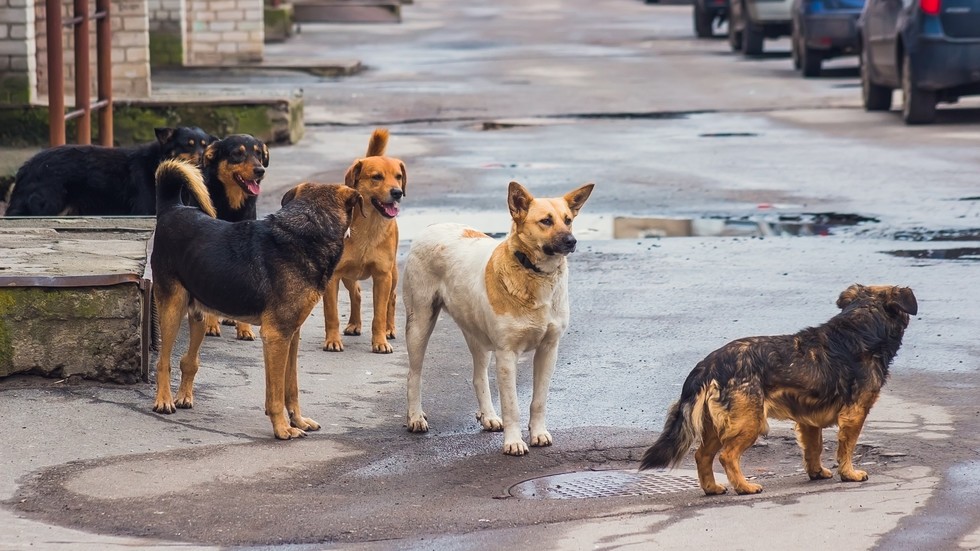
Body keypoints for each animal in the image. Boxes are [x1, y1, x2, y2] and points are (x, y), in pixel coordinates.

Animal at [5, 128, 212, 218]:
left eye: (204, 145)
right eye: (188, 144)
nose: (203, 158)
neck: (158, 161)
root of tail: (26, 168)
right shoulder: (145, 209)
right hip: (47, 205)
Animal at [186, 134, 270, 340]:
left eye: (258, 153)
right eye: (237, 154)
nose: (260, 170)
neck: (232, 204)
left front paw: (245, 329)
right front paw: (210, 325)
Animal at [402, 181, 592, 458]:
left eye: (568, 220)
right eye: (546, 221)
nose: (571, 241)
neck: (534, 273)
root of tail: (432, 226)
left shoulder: (548, 350)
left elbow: (539, 401)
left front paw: (538, 433)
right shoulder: (507, 355)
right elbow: (512, 405)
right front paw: (514, 442)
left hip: (477, 335)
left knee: (478, 376)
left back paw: (489, 416)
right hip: (419, 324)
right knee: (414, 375)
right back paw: (415, 417)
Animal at [640, 284, 916, 496]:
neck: (861, 325)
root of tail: (708, 365)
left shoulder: (808, 420)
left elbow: (814, 448)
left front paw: (816, 472)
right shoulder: (855, 414)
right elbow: (846, 447)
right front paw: (849, 473)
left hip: (718, 425)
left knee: (702, 456)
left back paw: (712, 488)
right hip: (749, 422)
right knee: (727, 456)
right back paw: (744, 487)